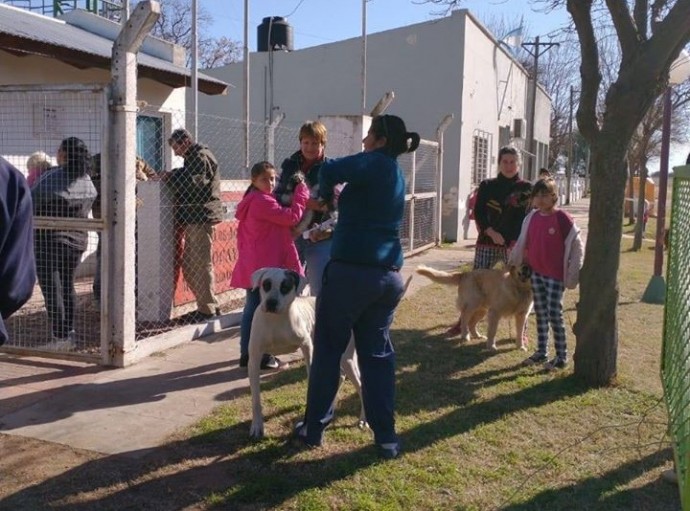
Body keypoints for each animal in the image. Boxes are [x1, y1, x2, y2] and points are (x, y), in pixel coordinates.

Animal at [247, 266, 366, 438]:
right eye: (266, 285)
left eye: (285, 287)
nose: (271, 302)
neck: (277, 320)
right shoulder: (254, 359)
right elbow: (256, 399)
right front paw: (257, 426)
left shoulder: (307, 348)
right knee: (339, 377)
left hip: (346, 357)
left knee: (360, 385)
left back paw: (363, 419)